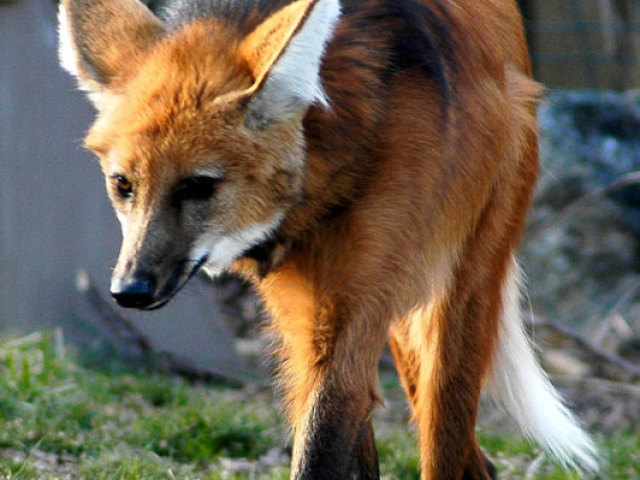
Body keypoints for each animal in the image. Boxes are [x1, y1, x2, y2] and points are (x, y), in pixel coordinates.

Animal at [57, 0, 596, 478]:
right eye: (123, 185)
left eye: (199, 185)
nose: (129, 291)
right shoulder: (305, 315)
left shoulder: (356, 296)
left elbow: (327, 435)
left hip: (459, 284)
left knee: (446, 439)